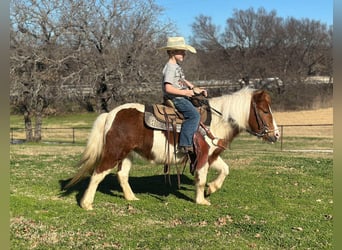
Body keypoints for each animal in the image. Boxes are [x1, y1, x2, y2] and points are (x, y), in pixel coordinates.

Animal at [65, 87, 280, 210]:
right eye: (264, 110)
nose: (276, 135)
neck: (215, 122)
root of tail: (110, 114)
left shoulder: (211, 156)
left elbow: (225, 170)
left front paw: (212, 188)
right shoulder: (202, 156)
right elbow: (201, 179)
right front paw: (202, 200)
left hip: (127, 155)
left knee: (122, 175)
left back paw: (131, 198)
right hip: (114, 152)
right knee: (98, 173)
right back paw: (86, 204)